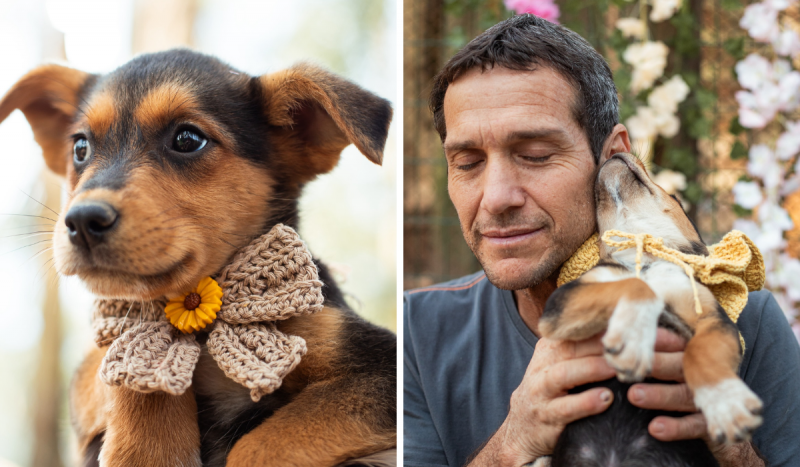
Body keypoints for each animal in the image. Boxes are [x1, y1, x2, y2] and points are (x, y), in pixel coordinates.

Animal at [0, 49, 396, 466]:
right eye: (80, 148)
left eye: (188, 140)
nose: (81, 221)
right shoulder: (89, 375)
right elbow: (127, 349)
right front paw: (148, 448)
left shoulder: (377, 363)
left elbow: (265, 443)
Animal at [536, 153, 764, 464]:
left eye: (675, 197)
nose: (613, 156)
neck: (644, 258)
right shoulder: (563, 302)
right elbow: (638, 286)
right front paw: (632, 338)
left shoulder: (713, 319)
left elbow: (703, 353)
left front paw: (726, 402)